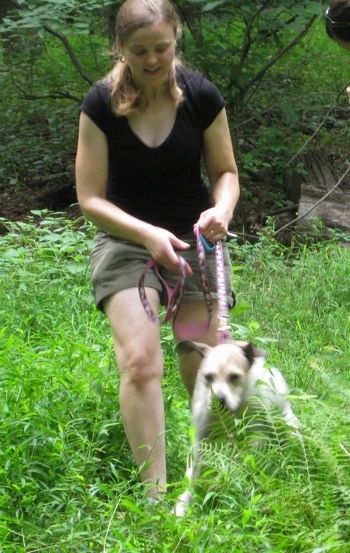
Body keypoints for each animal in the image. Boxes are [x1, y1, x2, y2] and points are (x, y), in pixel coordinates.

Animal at [175, 338, 300, 516]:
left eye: (234, 377)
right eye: (208, 377)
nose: (218, 399)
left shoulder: (257, 436)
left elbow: (239, 460)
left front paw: (221, 479)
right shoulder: (201, 442)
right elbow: (191, 475)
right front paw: (182, 505)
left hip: (285, 416)